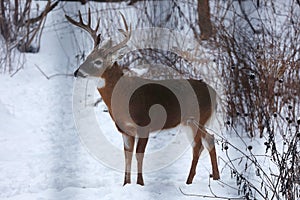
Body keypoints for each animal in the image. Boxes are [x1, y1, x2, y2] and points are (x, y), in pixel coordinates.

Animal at [66, 9, 220, 187]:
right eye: (87, 57)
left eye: (97, 61)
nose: (77, 72)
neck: (122, 97)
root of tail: (215, 93)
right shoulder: (125, 129)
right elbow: (127, 155)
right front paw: (126, 184)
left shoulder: (144, 124)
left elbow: (139, 154)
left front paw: (140, 183)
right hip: (191, 122)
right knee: (209, 139)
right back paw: (215, 177)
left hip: (198, 118)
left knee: (198, 145)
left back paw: (189, 181)